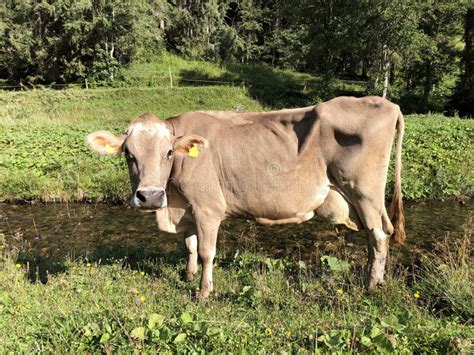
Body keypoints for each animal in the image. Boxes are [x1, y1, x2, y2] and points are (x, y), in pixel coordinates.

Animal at [85, 96, 404, 298]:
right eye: (129, 154)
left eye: (168, 152)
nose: (150, 197)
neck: (171, 204)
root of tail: (384, 102)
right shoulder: (186, 207)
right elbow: (189, 245)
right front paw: (188, 276)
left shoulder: (208, 208)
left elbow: (206, 251)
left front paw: (203, 292)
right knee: (377, 235)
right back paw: (375, 281)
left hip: (365, 192)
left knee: (378, 235)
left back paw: (371, 286)